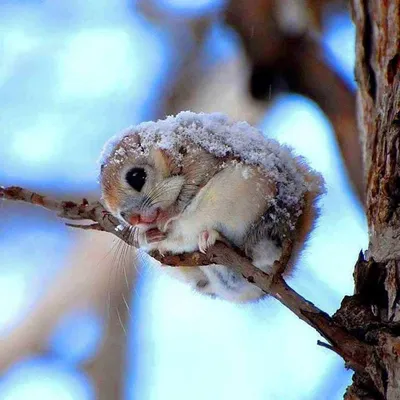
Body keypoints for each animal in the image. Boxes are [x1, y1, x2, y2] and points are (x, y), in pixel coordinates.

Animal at [100, 111, 324, 302]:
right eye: (119, 214)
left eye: (136, 177)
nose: (133, 219)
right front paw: (145, 235)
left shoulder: (199, 157)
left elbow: (190, 189)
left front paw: (168, 215)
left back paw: (214, 237)